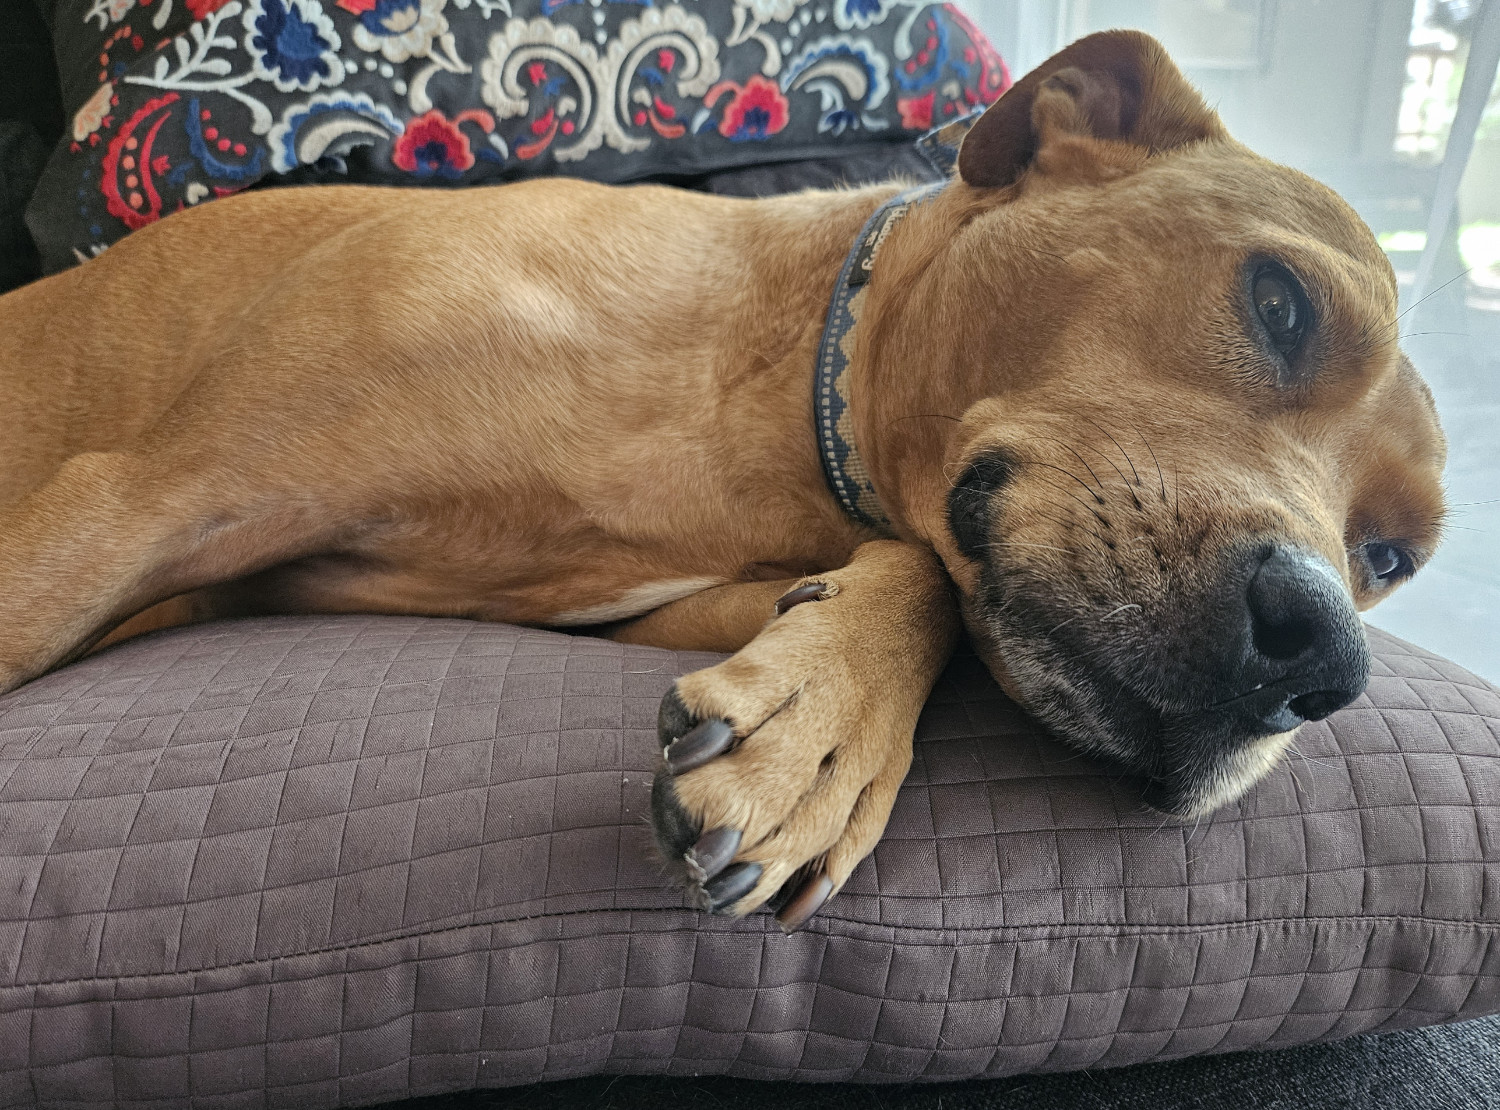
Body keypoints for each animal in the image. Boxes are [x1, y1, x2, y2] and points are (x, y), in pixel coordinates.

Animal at [2, 30, 1452, 930]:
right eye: (1279, 302)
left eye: (1393, 560)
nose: (1323, 658)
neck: (767, 388)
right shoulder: (137, 498)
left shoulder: (656, 601)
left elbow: (926, 577)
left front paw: (816, 736)